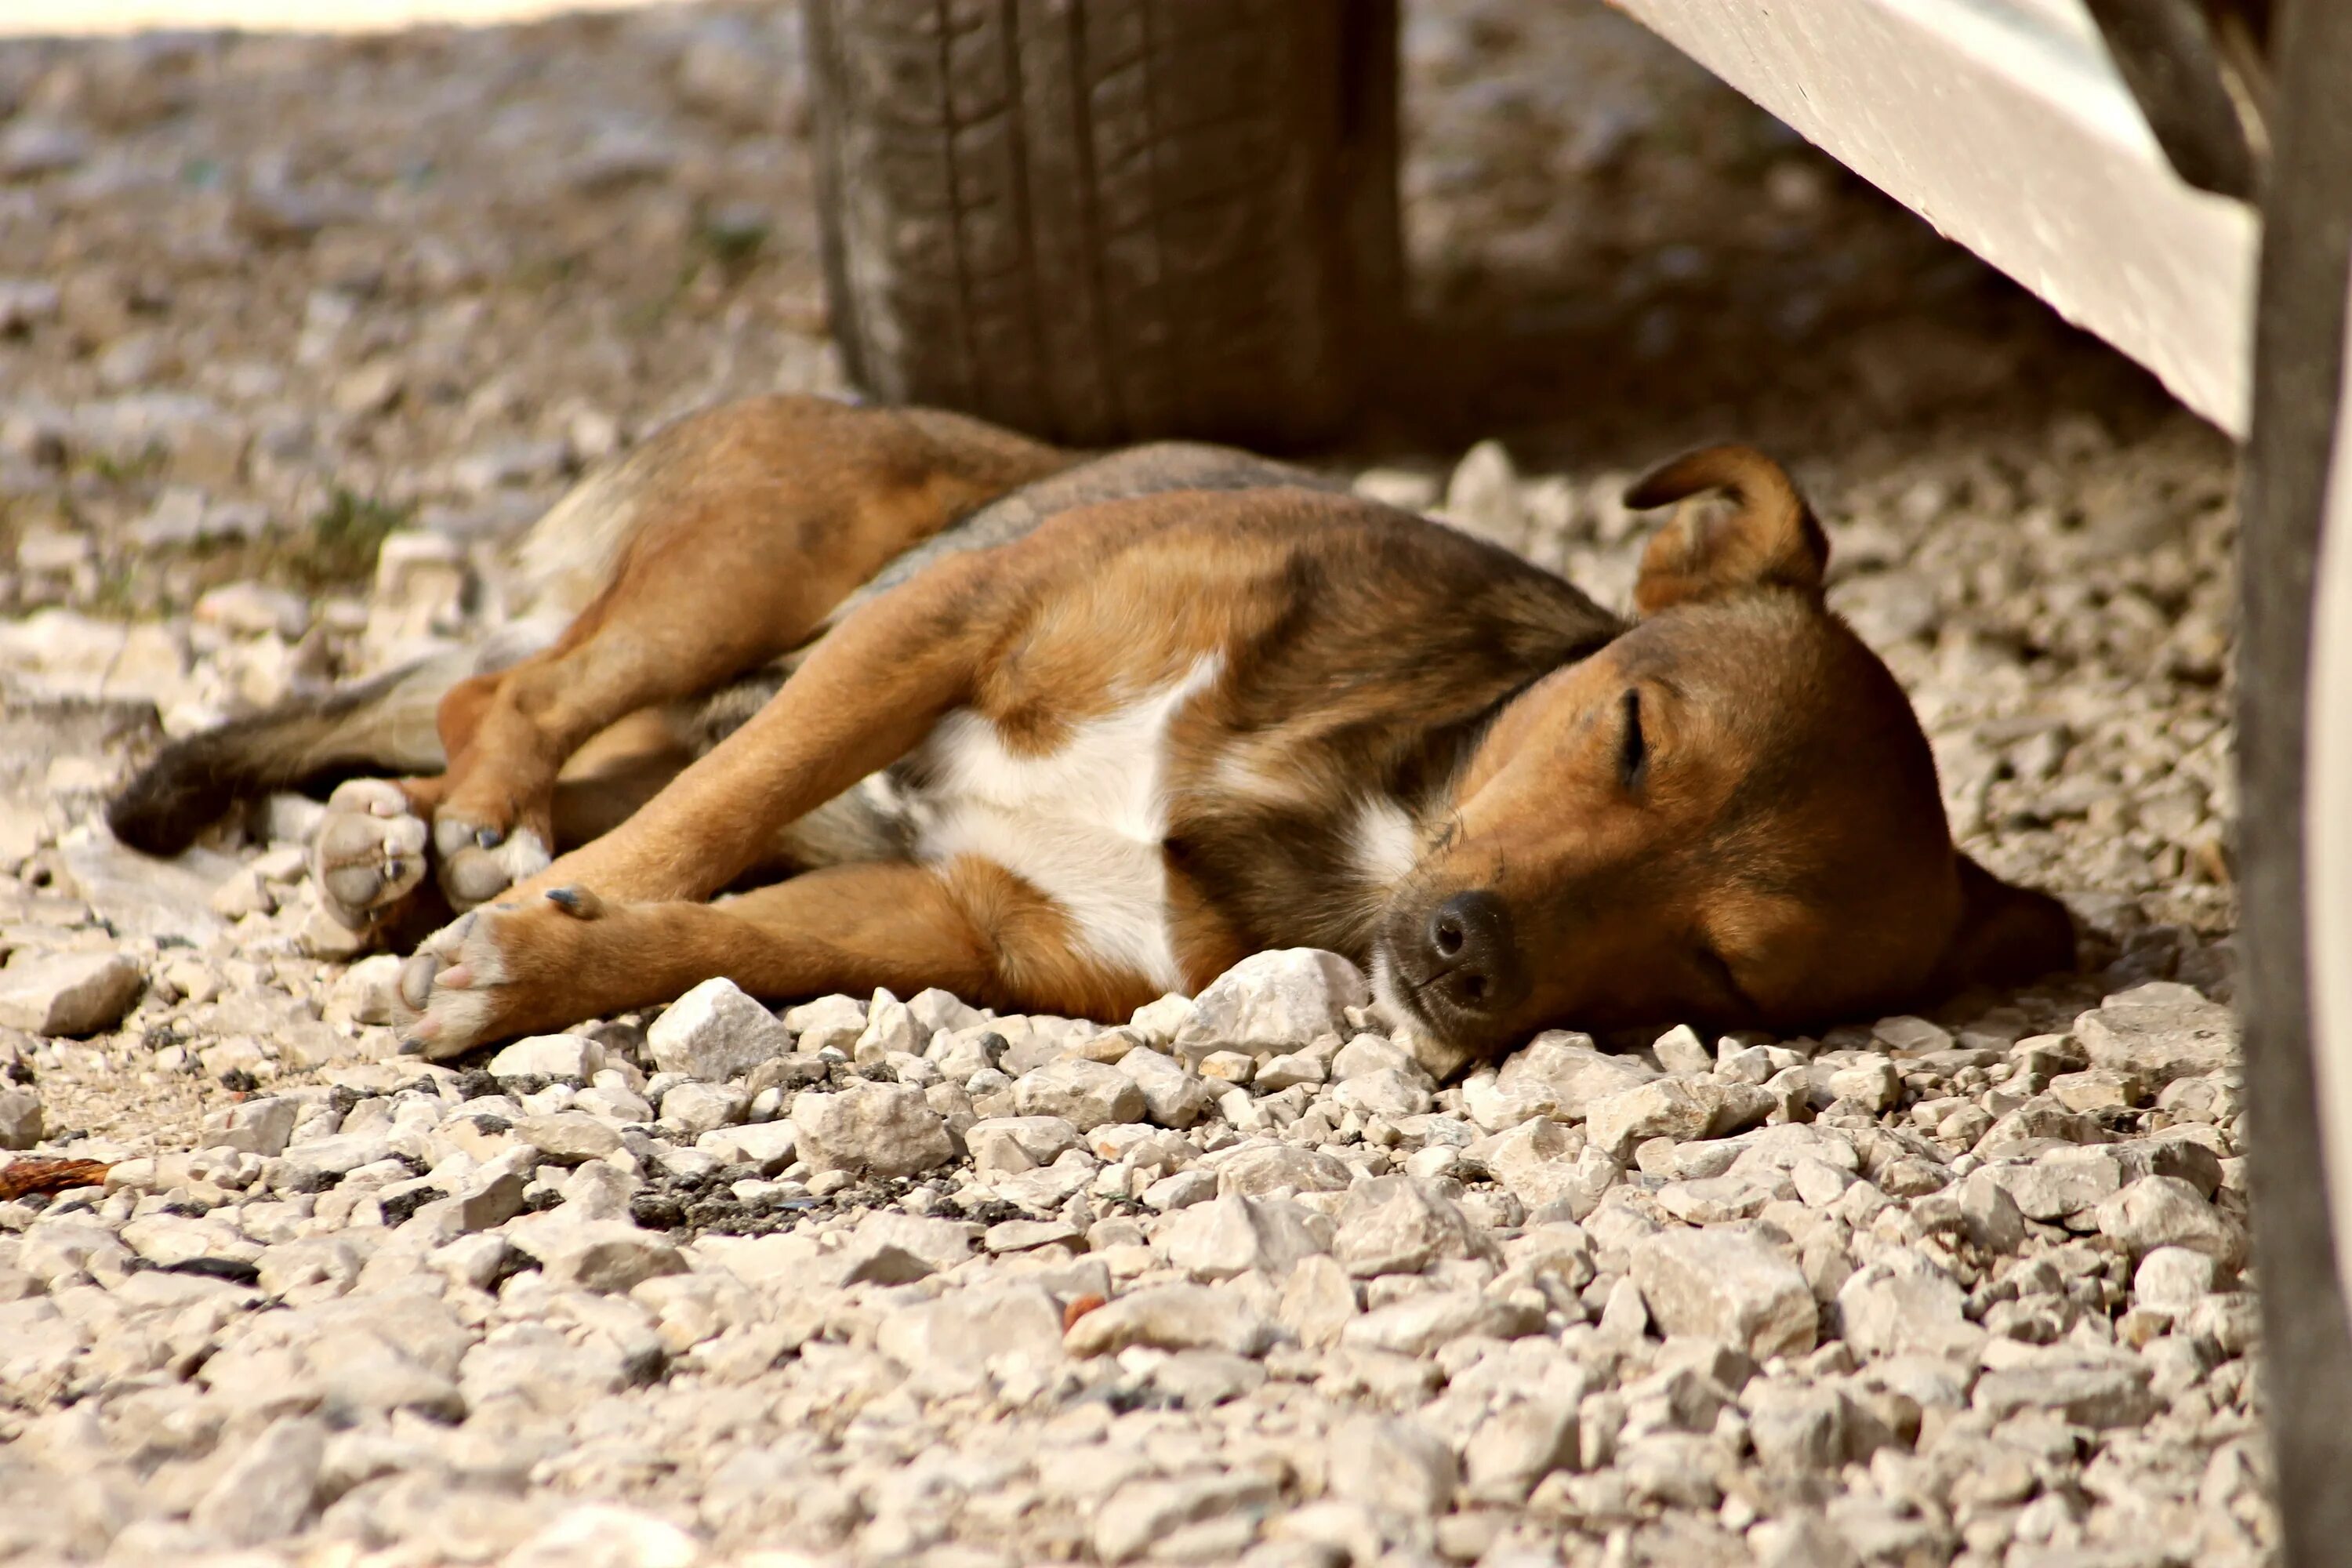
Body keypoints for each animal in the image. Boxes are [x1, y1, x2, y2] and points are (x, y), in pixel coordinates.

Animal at [106, 399, 2079, 1072]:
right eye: (1630, 735)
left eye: (1725, 970)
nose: (1461, 956)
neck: (1365, 802)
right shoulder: (943, 623)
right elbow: (708, 827)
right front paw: (534, 916)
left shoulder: (972, 923)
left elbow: (722, 933)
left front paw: (534, 964)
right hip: (770, 568)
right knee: (509, 698)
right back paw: (447, 838)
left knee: (494, 722)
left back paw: (399, 850)